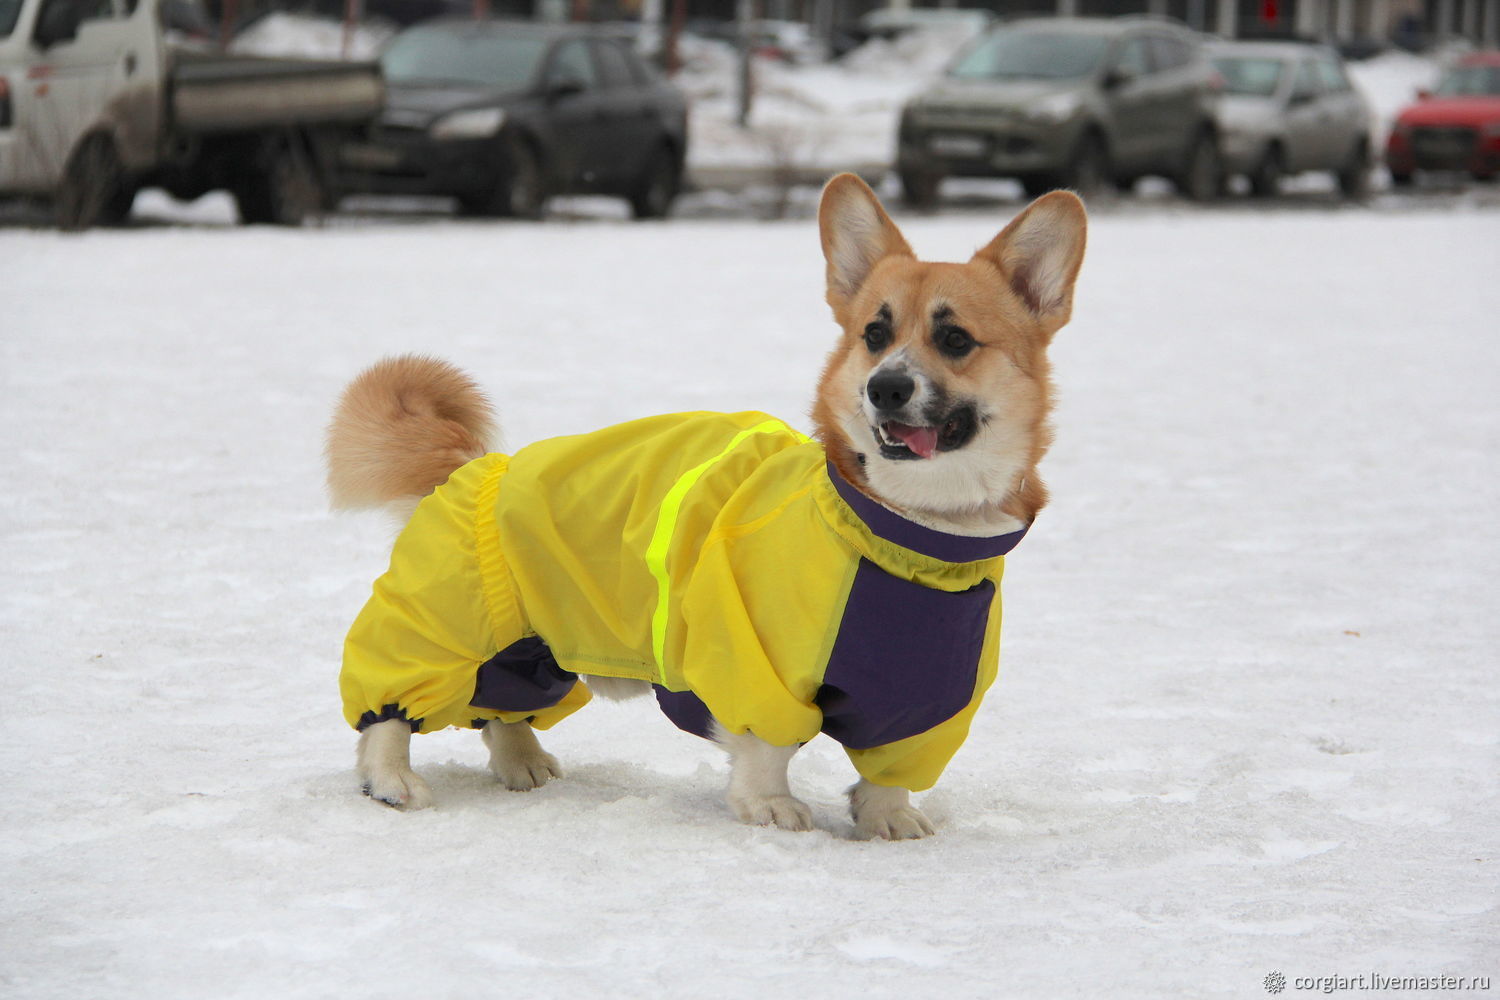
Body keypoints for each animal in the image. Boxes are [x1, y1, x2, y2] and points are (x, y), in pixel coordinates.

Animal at [328, 176, 1086, 839]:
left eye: (955, 340)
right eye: (875, 333)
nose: (885, 387)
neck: (909, 536)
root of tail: (474, 465)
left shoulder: (926, 699)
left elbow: (887, 774)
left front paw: (889, 819)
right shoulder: (752, 658)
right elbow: (765, 750)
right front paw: (771, 809)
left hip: (529, 648)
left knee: (503, 708)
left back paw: (524, 765)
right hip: (447, 624)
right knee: (388, 709)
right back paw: (391, 780)